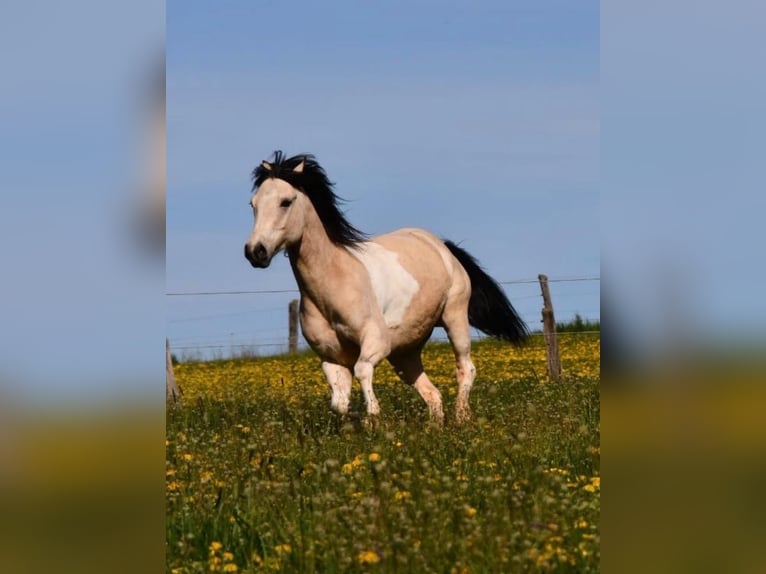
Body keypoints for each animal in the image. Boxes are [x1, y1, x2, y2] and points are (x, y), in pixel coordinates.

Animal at [244, 151, 528, 424]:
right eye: (253, 204)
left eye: (286, 201)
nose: (255, 252)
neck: (332, 286)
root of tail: (441, 246)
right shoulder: (332, 359)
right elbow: (339, 405)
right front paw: (359, 419)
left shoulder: (376, 343)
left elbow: (362, 371)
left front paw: (373, 417)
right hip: (405, 352)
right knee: (432, 395)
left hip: (454, 318)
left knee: (465, 368)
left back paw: (462, 418)